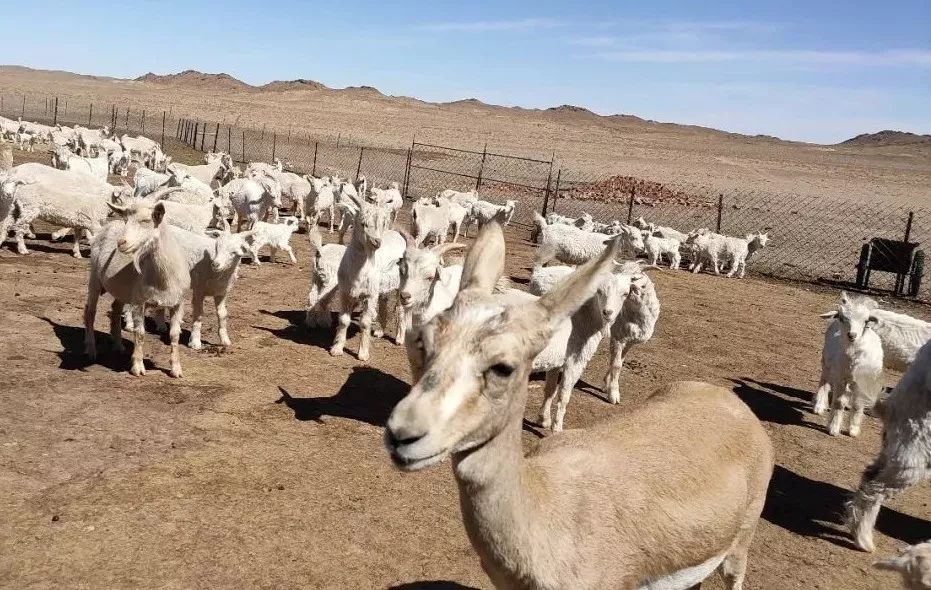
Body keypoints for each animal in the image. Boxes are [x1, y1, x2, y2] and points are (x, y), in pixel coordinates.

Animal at [84, 201, 190, 380]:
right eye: (126, 220)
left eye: (146, 221)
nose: (121, 242)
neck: (163, 278)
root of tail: (107, 226)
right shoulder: (139, 302)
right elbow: (139, 333)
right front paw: (138, 367)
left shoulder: (178, 303)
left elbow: (175, 335)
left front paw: (176, 369)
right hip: (94, 277)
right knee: (90, 312)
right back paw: (91, 350)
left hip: (122, 290)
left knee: (115, 309)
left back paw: (118, 346)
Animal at [382, 223, 776, 590]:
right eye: (425, 342)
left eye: (503, 366)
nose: (403, 434)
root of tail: (730, 400)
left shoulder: (570, 362)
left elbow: (562, 392)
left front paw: (551, 421)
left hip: (738, 547)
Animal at [848, 338, 931, 556]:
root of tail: (890, 409)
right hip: (911, 461)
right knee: (874, 491)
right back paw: (863, 540)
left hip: (891, 452)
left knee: (868, 478)